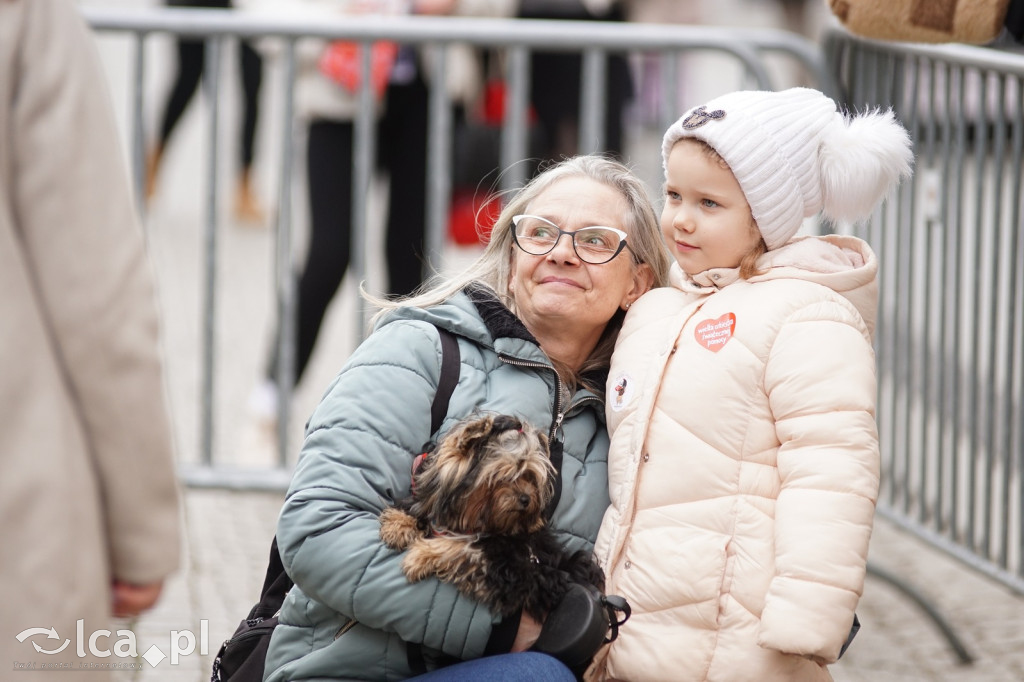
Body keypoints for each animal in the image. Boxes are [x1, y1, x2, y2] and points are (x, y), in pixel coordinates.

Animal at [378, 411, 602, 618]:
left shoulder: (507, 569)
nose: (526, 499)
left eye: (529, 477)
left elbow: (463, 548)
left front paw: (421, 556)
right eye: (502, 475)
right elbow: (422, 507)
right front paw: (399, 526)